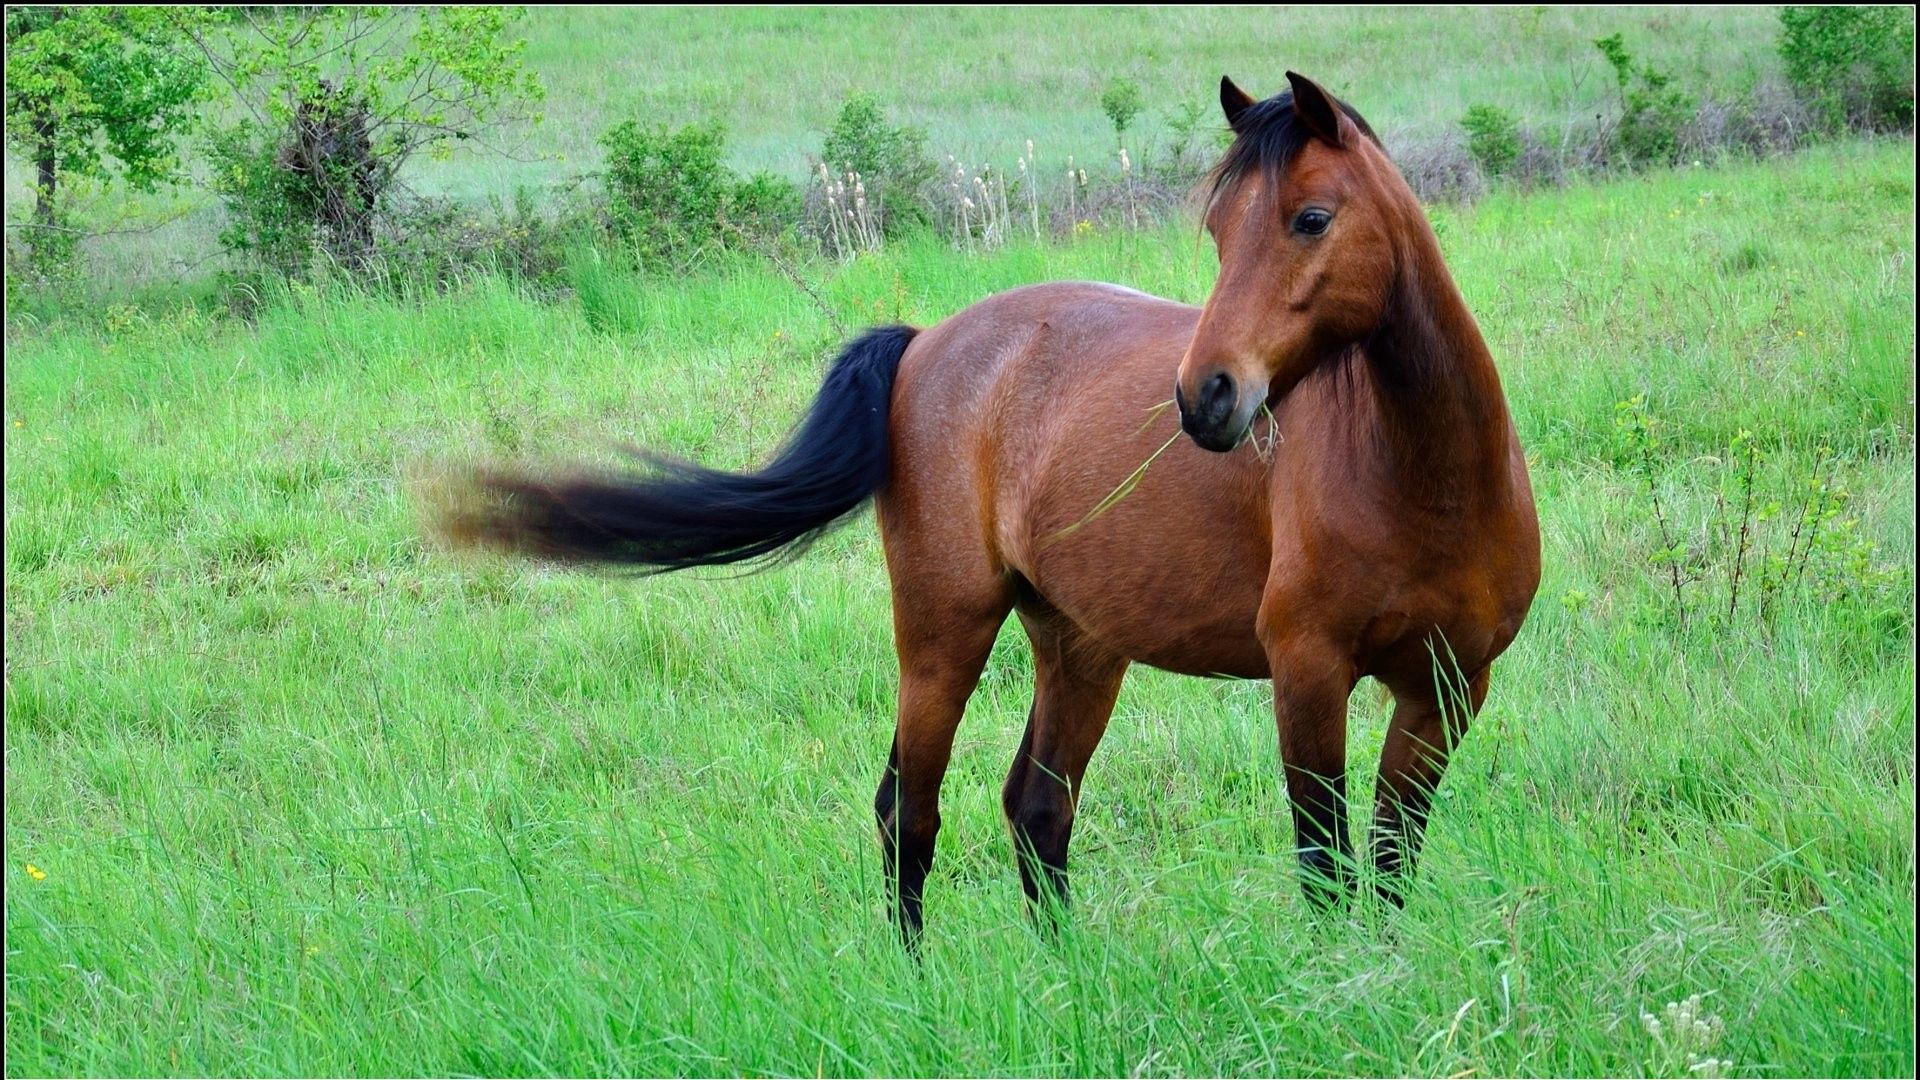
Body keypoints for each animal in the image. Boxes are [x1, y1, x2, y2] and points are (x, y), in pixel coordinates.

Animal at [439, 71, 1543, 937]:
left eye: (1311, 217)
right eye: (1219, 231)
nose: (1206, 397)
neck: (1422, 477)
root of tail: (924, 343)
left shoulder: (1446, 691)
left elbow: (1389, 865)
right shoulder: (1307, 676)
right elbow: (1325, 867)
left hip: (1078, 643)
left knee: (1037, 809)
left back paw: (1074, 984)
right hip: (945, 630)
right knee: (909, 812)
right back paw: (917, 991)